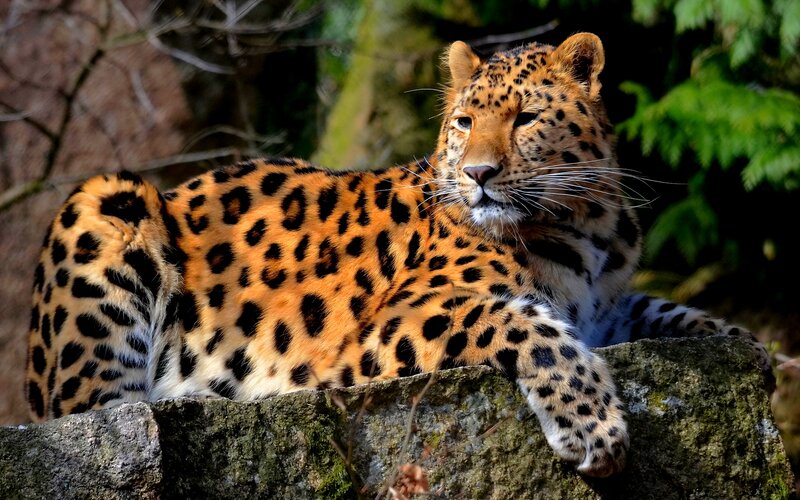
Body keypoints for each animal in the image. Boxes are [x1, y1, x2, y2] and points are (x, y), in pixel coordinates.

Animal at [25, 33, 765, 478]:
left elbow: (670, 310)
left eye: (525, 119)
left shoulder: (611, 307)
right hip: (104, 203)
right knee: (103, 411)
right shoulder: (392, 322)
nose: (479, 174)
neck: (587, 223)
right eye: (465, 121)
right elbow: (522, 321)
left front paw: (747, 346)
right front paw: (591, 424)